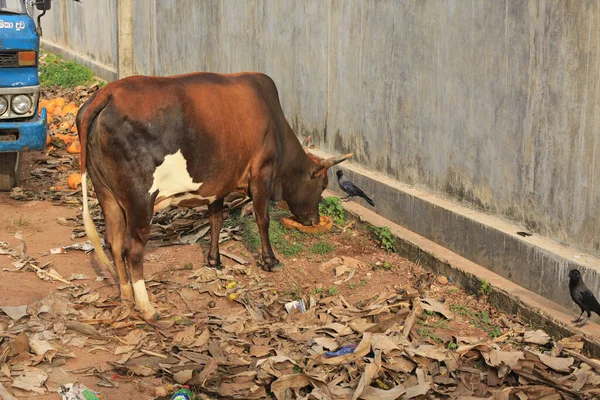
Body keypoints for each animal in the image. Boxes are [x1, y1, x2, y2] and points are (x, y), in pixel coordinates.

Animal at [77, 72, 354, 320]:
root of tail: (106, 93)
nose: (314, 221)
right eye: (321, 185)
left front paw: (214, 260)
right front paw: (270, 260)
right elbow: (262, 220)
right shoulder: (261, 174)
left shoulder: (217, 185)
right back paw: (146, 306)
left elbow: (216, 221)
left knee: (113, 242)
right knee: (132, 249)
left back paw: (127, 294)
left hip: (107, 194)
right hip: (140, 201)